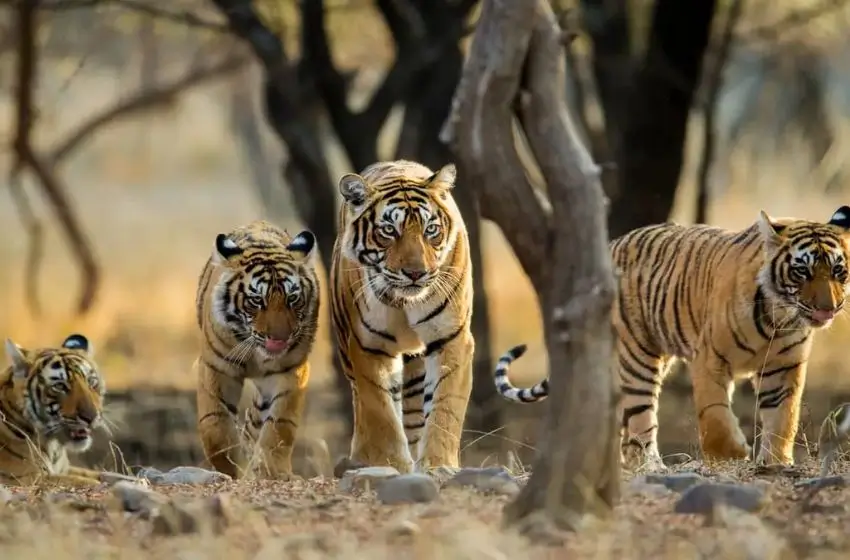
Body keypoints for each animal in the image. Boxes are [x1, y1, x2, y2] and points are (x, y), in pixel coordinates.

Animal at [1, 333, 110, 486]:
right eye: (59, 386)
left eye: (91, 381)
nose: (91, 417)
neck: (55, 448)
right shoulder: (27, 478)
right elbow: (84, 481)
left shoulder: (65, 469)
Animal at [194, 220, 320, 480]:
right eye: (256, 301)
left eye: (293, 298)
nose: (280, 338)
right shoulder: (216, 367)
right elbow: (215, 425)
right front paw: (231, 469)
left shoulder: (290, 371)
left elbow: (279, 425)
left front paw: (272, 471)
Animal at [330, 159, 474, 475]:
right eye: (388, 231)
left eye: (430, 230)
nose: (416, 273)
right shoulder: (369, 346)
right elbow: (380, 411)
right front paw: (389, 464)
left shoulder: (450, 339)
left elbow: (445, 407)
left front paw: (438, 465)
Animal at [493, 206, 850, 471]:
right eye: (802, 271)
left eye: (838, 271)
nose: (829, 308)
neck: (780, 317)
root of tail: (609, 245)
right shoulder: (709, 359)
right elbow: (714, 414)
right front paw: (732, 454)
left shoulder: (784, 367)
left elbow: (782, 416)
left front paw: (775, 461)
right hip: (636, 358)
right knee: (639, 418)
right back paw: (649, 466)